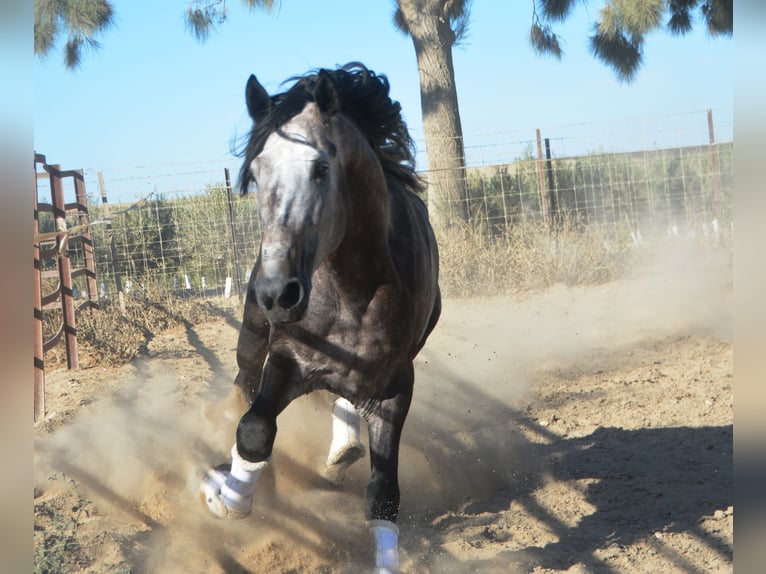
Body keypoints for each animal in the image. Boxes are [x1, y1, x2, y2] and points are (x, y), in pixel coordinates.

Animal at [202, 64, 444, 574]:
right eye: (256, 172)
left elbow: (383, 493)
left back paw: (342, 449)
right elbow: (254, 429)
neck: (353, 289)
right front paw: (222, 493)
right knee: (243, 383)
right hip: (252, 336)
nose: (278, 293)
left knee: (347, 406)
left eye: (322, 168)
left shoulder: (396, 385)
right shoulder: (288, 359)